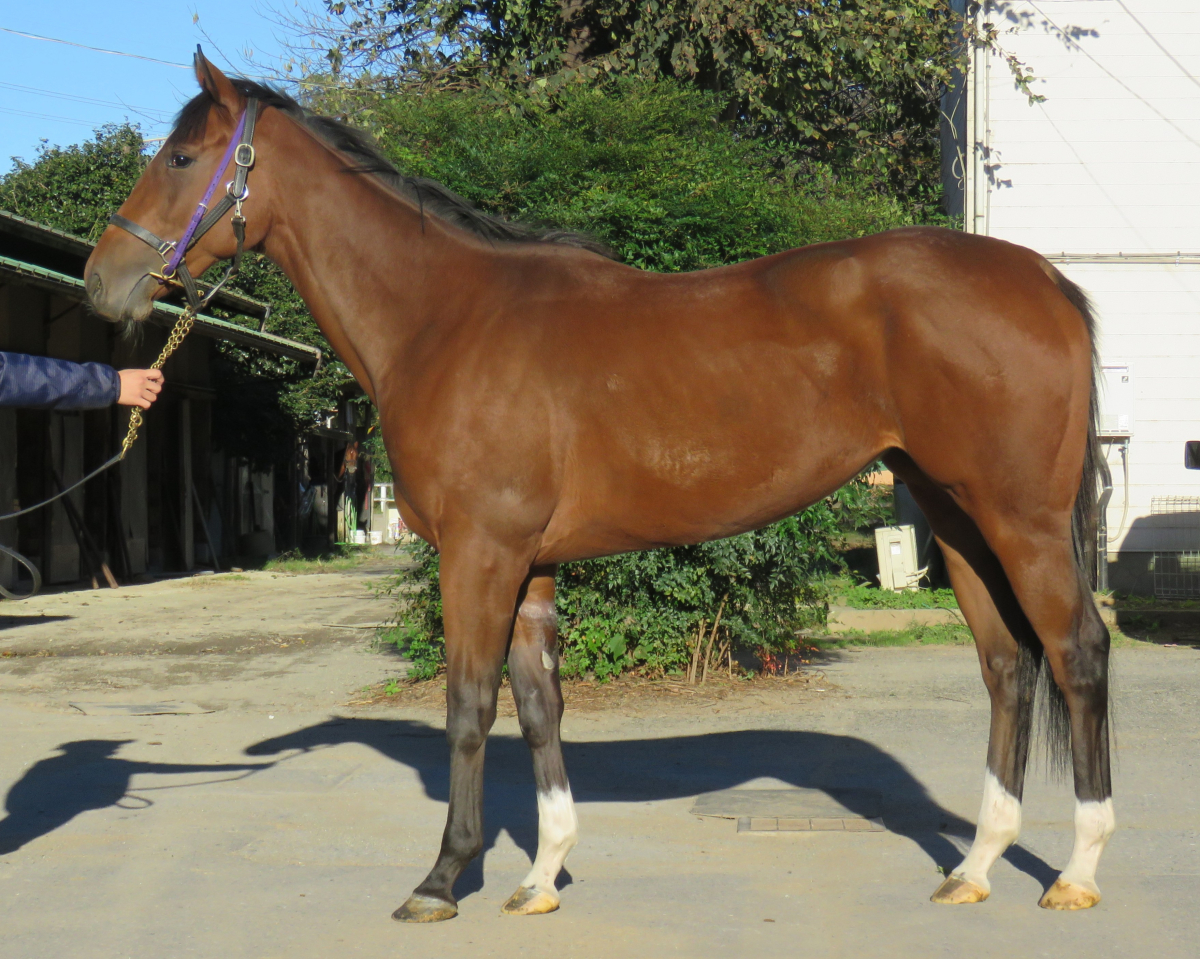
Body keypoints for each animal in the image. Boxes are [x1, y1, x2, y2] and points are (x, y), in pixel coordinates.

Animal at [85, 52, 1114, 920]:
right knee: (1006, 665)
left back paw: (1074, 870)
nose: (103, 281)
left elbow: (468, 705)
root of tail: (1047, 281)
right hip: (954, 514)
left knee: (1076, 651)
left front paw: (442, 876)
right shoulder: (528, 561)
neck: (443, 318)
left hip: (1019, 519)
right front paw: (540, 876)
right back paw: (975, 866)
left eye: (181, 156)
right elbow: (540, 706)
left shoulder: (479, 554)